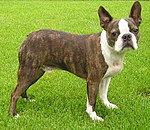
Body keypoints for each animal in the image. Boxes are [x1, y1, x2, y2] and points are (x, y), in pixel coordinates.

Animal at [9, 1, 142, 121]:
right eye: (114, 33)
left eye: (135, 30)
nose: (126, 36)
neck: (111, 50)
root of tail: (28, 37)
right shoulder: (93, 80)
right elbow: (92, 100)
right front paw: (94, 117)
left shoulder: (106, 78)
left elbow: (103, 94)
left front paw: (108, 106)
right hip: (28, 71)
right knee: (15, 93)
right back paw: (13, 114)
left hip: (36, 72)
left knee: (23, 89)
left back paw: (27, 100)